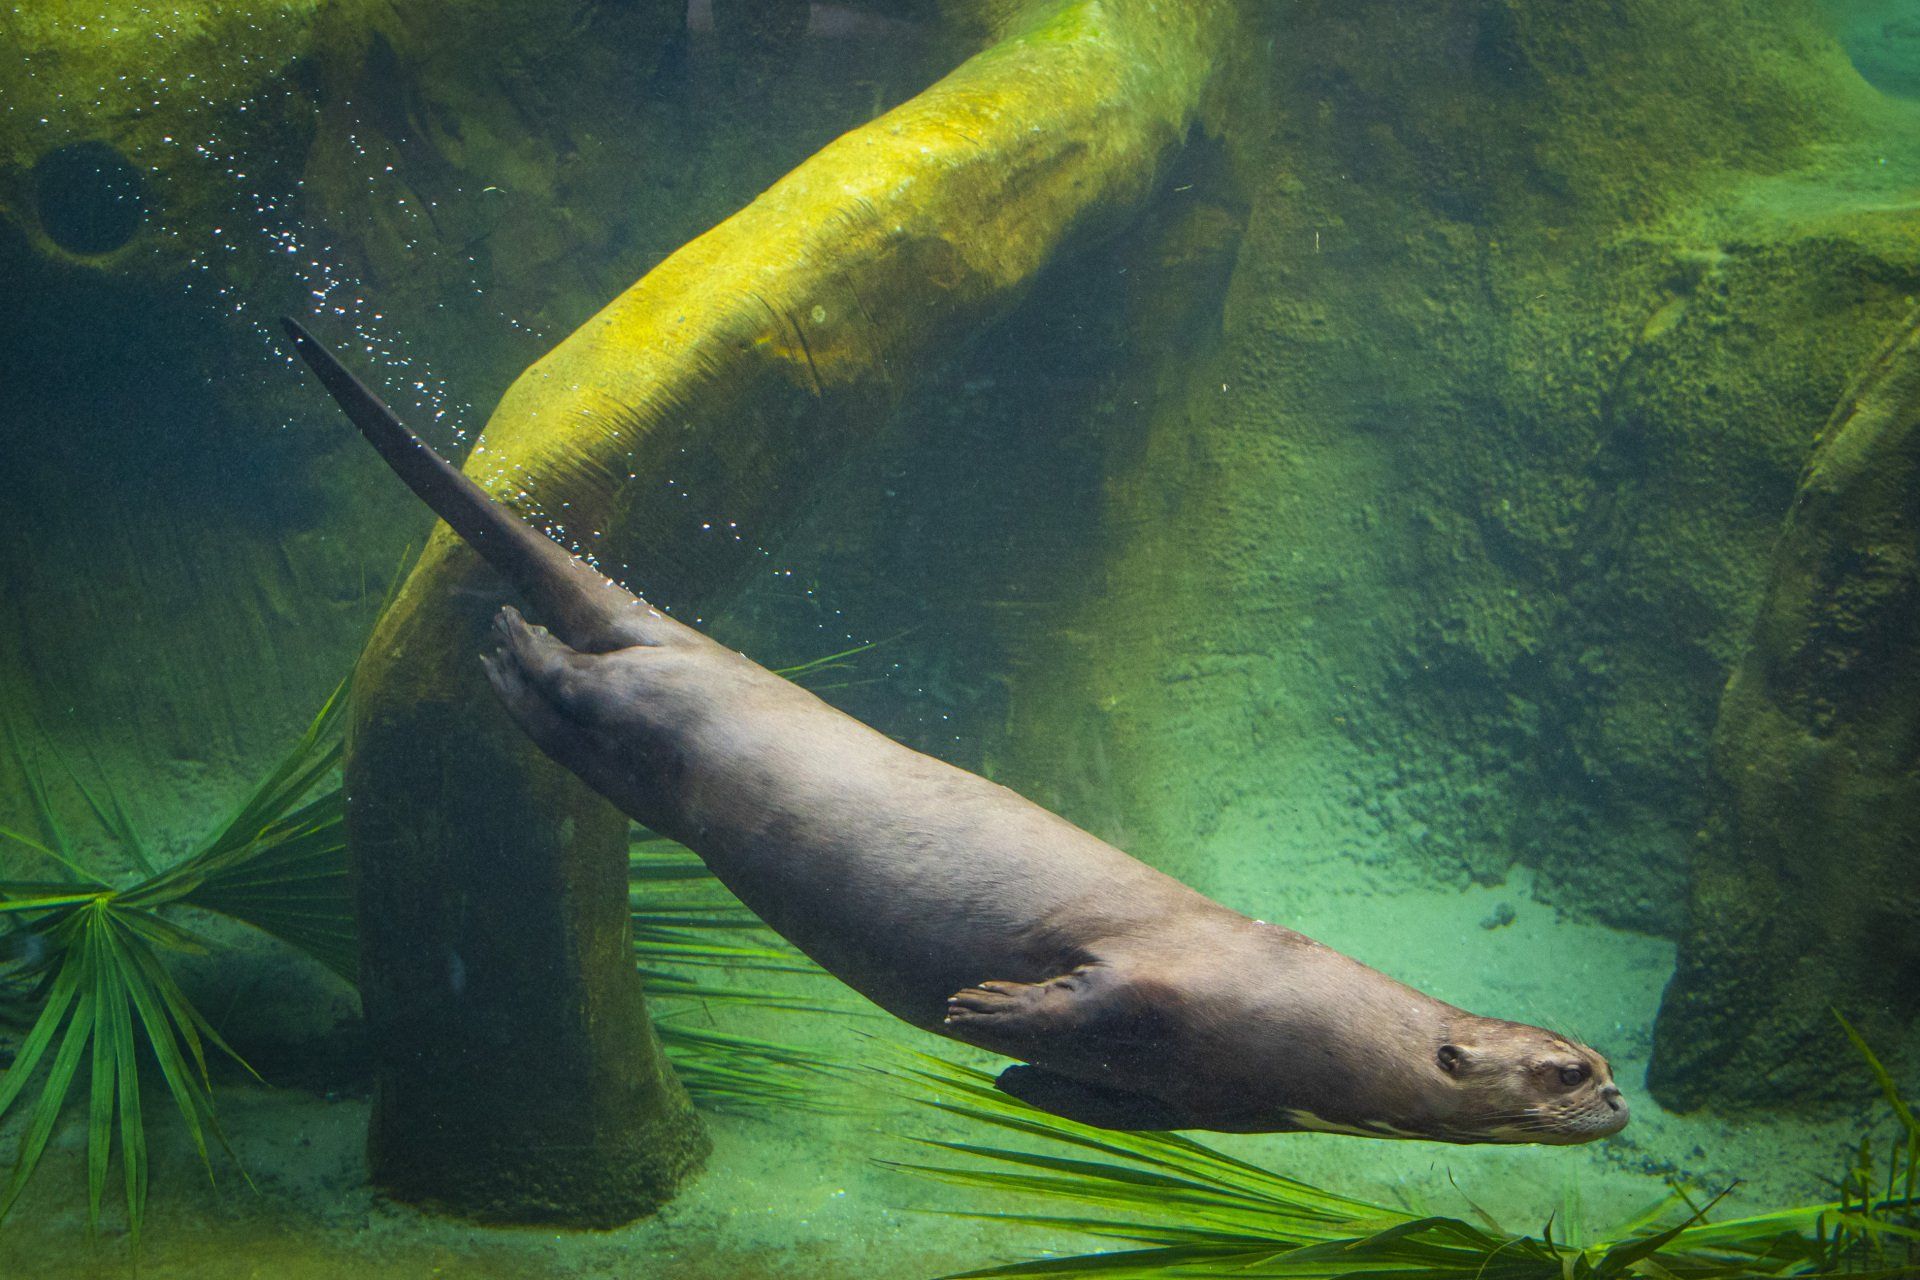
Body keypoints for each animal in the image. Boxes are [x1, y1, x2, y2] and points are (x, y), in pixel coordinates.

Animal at [285, 317, 1629, 1143]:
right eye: (1564, 1069)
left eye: (1604, 1066)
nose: (1618, 1103)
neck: (1312, 1016)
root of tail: (693, 640)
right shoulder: (1177, 972)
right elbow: (1091, 987)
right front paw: (991, 1009)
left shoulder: (1198, 1095)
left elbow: (1092, 1092)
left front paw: (1012, 1066)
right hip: (665, 720)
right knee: (576, 694)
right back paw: (508, 645)